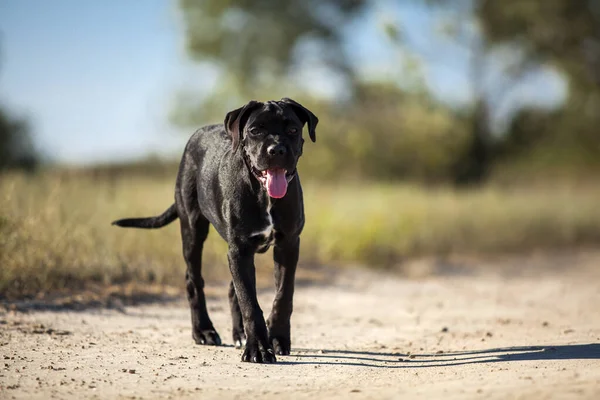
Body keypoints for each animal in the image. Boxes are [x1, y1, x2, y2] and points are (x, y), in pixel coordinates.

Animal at [113, 98, 318, 364]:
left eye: (292, 129)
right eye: (256, 130)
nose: (276, 150)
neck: (264, 195)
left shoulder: (288, 244)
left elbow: (282, 296)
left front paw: (277, 339)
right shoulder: (240, 249)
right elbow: (250, 302)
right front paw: (258, 349)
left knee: (233, 289)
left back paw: (239, 334)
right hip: (192, 229)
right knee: (194, 282)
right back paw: (204, 331)